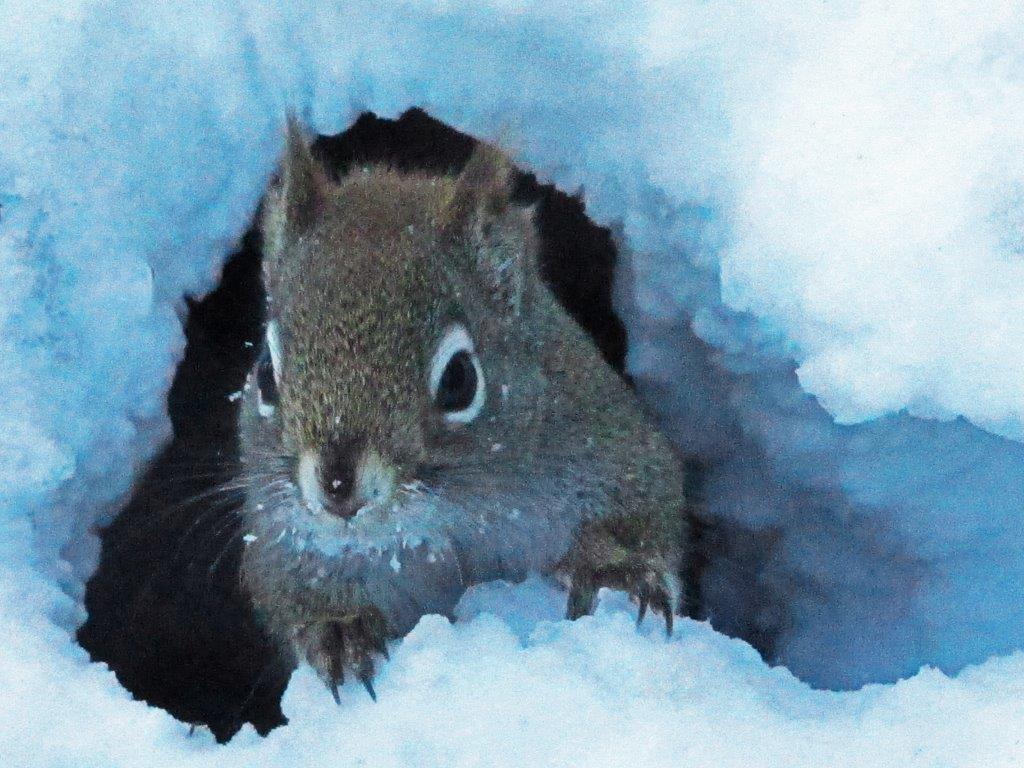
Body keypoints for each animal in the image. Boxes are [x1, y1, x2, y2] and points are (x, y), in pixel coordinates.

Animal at [238, 117, 688, 702]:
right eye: (266, 375)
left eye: (459, 380)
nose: (337, 486)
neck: (446, 519)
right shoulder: (282, 541)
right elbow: (289, 594)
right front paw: (337, 630)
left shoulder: (613, 445)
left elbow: (648, 514)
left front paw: (617, 566)